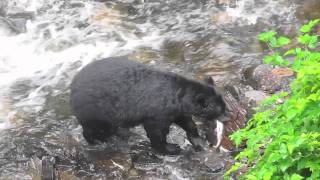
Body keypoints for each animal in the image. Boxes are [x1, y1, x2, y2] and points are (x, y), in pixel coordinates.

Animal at [70, 56, 225, 155]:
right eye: (219, 110)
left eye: (225, 105)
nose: (227, 118)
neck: (177, 94)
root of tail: (72, 86)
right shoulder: (157, 112)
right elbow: (156, 131)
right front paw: (170, 148)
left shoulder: (175, 110)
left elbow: (186, 121)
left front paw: (198, 140)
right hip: (95, 111)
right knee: (94, 129)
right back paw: (97, 142)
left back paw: (122, 134)